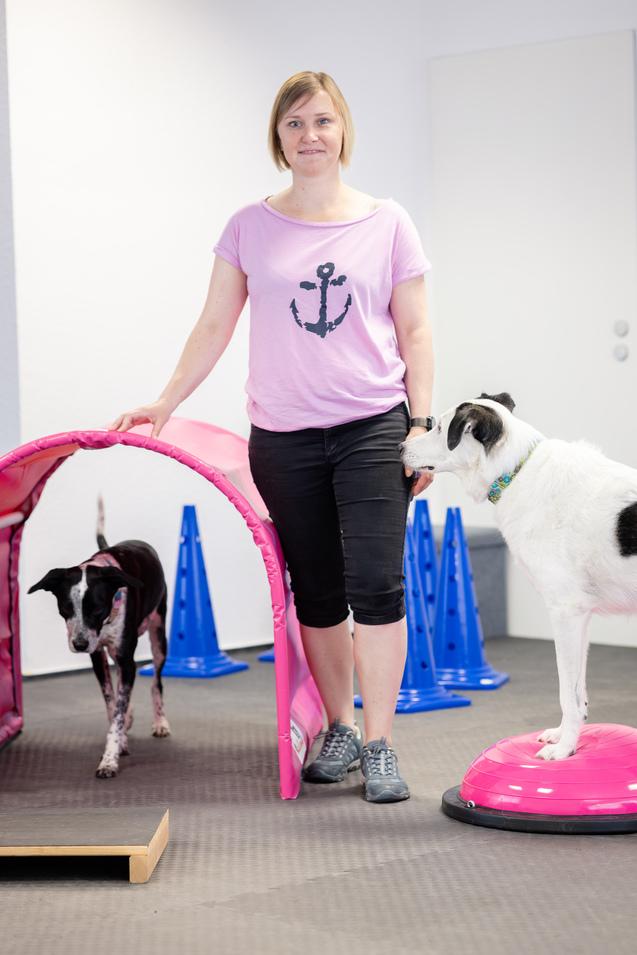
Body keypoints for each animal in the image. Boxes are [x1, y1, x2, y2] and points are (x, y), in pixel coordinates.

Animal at [28, 496, 171, 777]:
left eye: (97, 609)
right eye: (66, 608)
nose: (79, 644)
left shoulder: (126, 658)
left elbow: (117, 711)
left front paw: (109, 759)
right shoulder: (98, 656)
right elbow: (111, 703)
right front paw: (120, 740)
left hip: (159, 634)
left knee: (156, 682)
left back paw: (160, 721)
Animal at [401, 391, 637, 761]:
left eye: (439, 428)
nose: (400, 447)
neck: (516, 471)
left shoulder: (565, 613)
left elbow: (566, 693)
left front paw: (565, 749)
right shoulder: (580, 616)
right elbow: (578, 691)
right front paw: (564, 736)